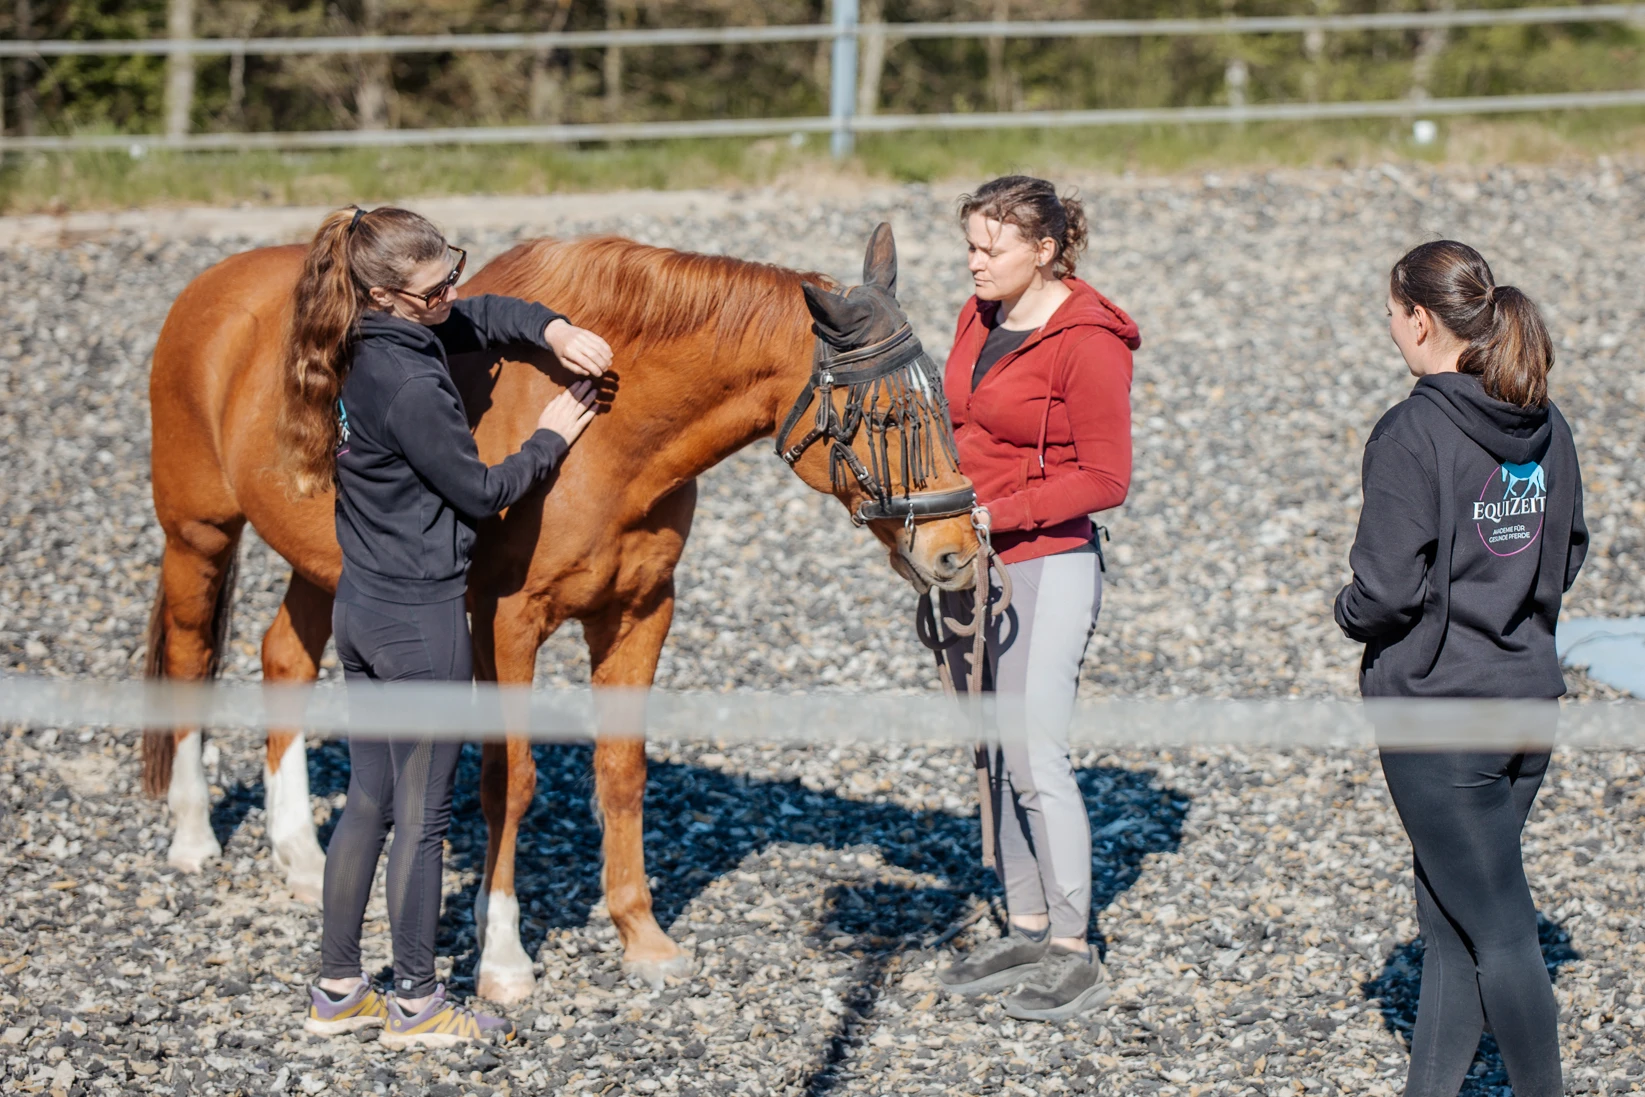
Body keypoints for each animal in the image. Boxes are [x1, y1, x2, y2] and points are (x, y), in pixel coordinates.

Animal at [142, 223, 982, 1000]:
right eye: (886, 419)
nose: (956, 550)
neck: (609, 440)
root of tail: (213, 286)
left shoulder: (639, 611)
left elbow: (621, 769)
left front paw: (642, 936)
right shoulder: (506, 623)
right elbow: (509, 779)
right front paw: (503, 956)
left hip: (324, 562)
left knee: (284, 656)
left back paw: (300, 856)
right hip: (198, 534)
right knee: (189, 653)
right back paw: (192, 834)